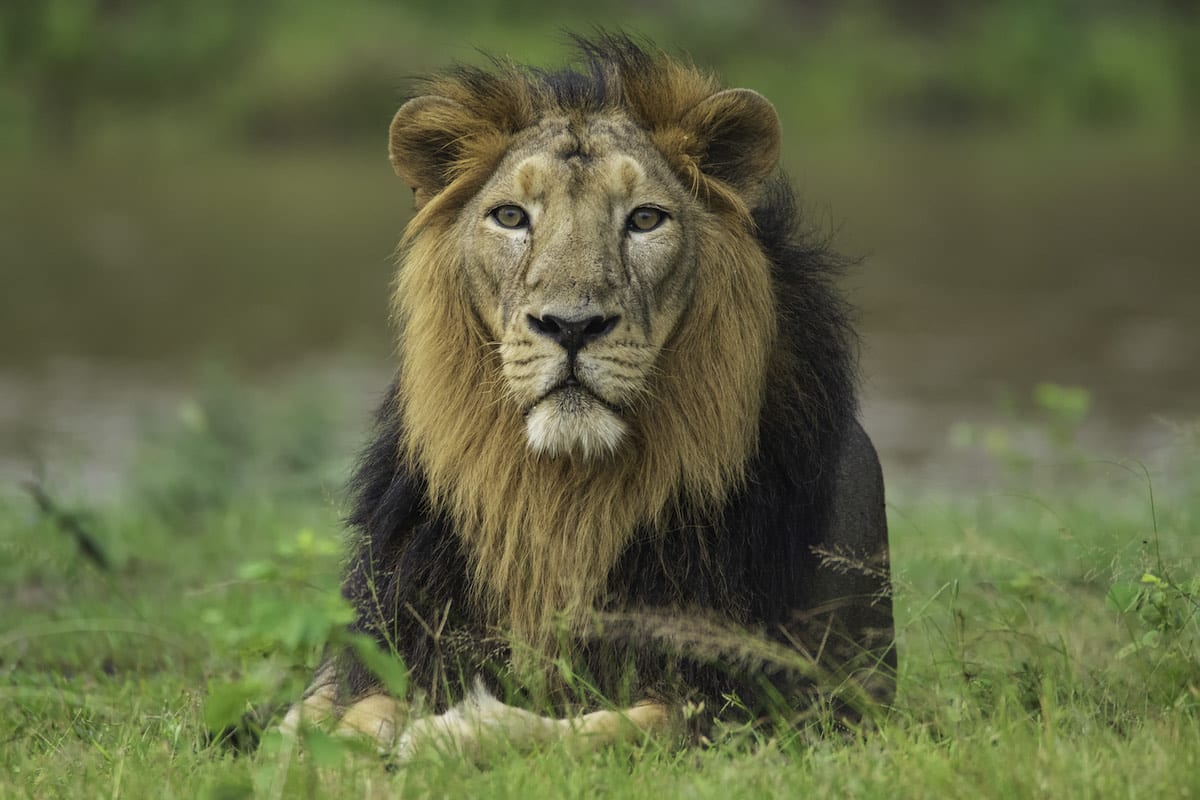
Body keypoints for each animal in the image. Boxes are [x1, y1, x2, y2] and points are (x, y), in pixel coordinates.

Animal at [280, 35, 897, 762]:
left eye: (646, 219)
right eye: (511, 217)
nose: (571, 326)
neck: (559, 498)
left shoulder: (755, 705)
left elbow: (598, 728)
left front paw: (449, 733)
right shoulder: (382, 639)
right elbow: (313, 713)